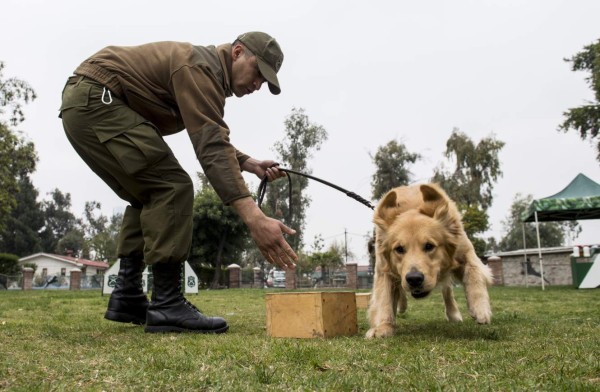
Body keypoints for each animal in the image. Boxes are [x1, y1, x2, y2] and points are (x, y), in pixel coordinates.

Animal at [366, 182, 492, 338]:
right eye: (399, 249)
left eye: (429, 246)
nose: (414, 279)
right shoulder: (383, 268)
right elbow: (384, 297)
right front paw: (383, 327)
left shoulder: (465, 251)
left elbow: (473, 274)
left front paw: (480, 308)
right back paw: (402, 306)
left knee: (447, 291)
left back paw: (453, 314)